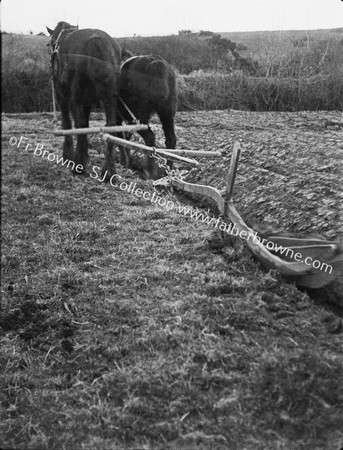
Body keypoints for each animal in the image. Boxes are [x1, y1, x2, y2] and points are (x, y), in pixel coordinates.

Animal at [47, 21, 122, 179]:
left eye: (50, 43)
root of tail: (97, 41)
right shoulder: (87, 101)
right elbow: (85, 122)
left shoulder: (62, 97)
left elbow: (67, 123)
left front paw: (68, 156)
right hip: (110, 95)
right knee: (111, 125)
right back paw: (108, 170)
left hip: (74, 96)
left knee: (79, 123)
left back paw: (78, 165)